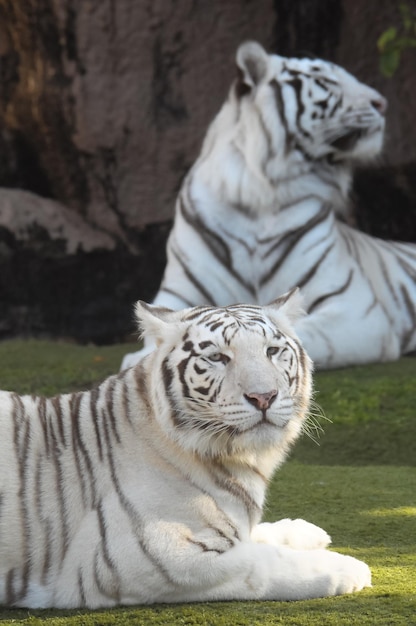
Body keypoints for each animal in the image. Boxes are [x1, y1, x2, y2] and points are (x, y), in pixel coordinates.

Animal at [0, 290, 368, 608]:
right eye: (218, 357)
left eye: (272, 351)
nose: (263, 397)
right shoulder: (148, 558)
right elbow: (264, 563)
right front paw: (349, 567)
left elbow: (255, 536)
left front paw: (305, 530)